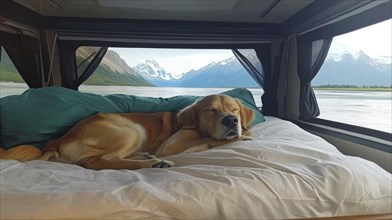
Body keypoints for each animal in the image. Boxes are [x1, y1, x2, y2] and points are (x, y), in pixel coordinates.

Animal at [0, 94, 254, 170]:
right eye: (211, 110)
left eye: (234, 109)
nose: (231, 121)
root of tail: (57, 139)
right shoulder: (171, 145)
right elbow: (213, 140)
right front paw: (245, 135)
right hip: (130, 130)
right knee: (99, 161)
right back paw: (153, 163)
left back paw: (148, 158)